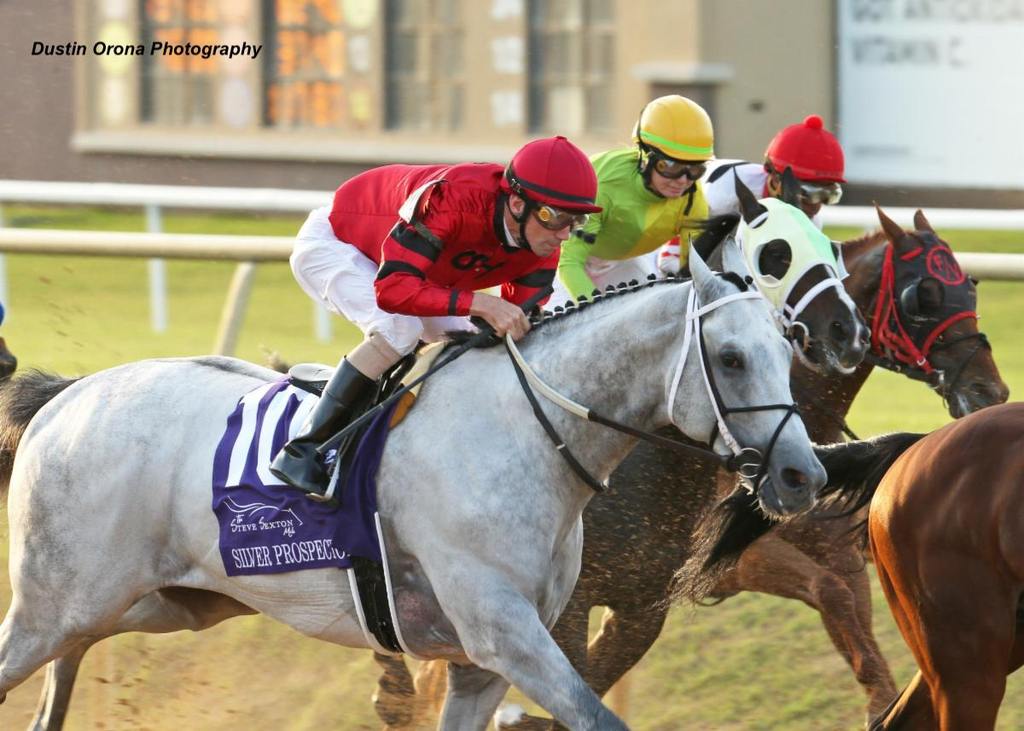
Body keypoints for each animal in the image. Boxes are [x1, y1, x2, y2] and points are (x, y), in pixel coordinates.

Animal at [0, 247, 819, 724]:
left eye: (789, 348)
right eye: (732, 357)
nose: (802, 474)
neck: (522, 434)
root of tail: (66, 398)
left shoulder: (478, 665)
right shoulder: (507, 634)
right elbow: (597, 716)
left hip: (152, 603)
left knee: (64, 673)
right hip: (55, 605)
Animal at [374, 203, 1007, 724]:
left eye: (971, 287)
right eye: (925, 294)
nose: (991, 390)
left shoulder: (664, 595)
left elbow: (843, 603)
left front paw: (882, 700)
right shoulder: (583, 601)